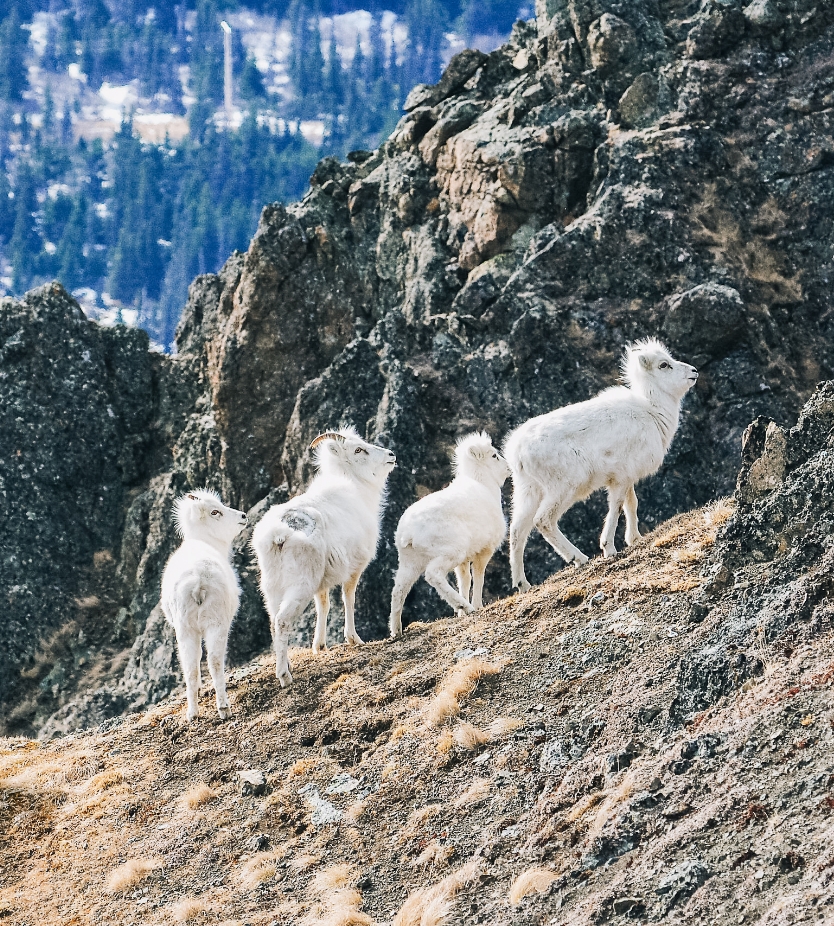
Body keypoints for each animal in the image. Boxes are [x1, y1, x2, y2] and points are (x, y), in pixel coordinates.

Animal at [158, 490, 245, 720]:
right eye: (215, 512)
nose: (243, 516)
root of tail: (198, 582)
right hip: (216, 624)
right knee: (214, 661)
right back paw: (224, 709)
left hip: (186, 629)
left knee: (190, 667)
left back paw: (192, 713)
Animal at [252, 430, 394, 688]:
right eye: (358, 450)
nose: (391, 455)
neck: (356, 488)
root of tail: (277, 535)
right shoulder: (354, 569)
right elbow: (349, 598)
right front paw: (354, 639)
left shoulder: (322, 582)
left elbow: (323, 605)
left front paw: (319, 646)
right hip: (300, 586)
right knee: (282, 622)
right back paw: (284, 676)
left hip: (272, 588)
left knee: (273, 623)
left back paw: (287, 664)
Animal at [388, 434, 510, 640]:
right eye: (494, 455)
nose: (508, 469)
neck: (484, 484)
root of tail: (408, 533)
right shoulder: (483, 552)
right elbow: (478, 577)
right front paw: (477, 606)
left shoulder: (464, 561)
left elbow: (465, 580)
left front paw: (461, 614)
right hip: (450, 552)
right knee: (433, 575)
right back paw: (465, 606)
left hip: (410, 562)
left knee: (398, 590)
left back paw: (396, 631)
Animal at [500, 340, 696, 596]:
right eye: (664, 365)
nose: (694, 372)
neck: (652, 412)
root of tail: (516, 452)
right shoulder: (619, 479)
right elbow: (616, 508)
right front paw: (609, 549)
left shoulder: (627, 477)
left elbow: (631, 504)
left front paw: (634, 538)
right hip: (564, 487)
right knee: (543, 520)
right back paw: (579, 558)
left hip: (528, 491)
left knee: (517, 531)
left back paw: (522, 584)